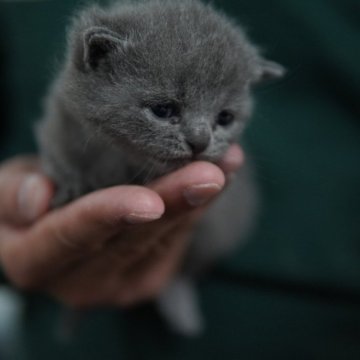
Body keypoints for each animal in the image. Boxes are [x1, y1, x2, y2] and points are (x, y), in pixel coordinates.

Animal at [35, 0, 284, 334]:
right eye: (163, 110)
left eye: (225, 118)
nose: (200, 141)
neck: (120, 158)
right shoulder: (60, 121)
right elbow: (62, 155)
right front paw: (72, 183)